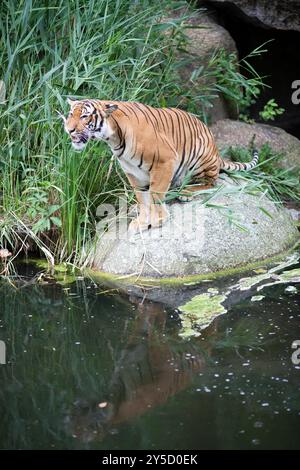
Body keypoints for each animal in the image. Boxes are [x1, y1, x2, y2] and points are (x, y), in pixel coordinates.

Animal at [62, 98, 258, 233]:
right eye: (71, 114)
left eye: (84, 116)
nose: (68, 129)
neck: (114, 138)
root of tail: (216, 151)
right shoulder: (133, 172)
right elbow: (143, 198)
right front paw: (142, 221)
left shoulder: (165, 162)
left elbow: (155, 194)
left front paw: (158, 219)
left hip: (200, 159)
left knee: (211, 182)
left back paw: (186, 193)